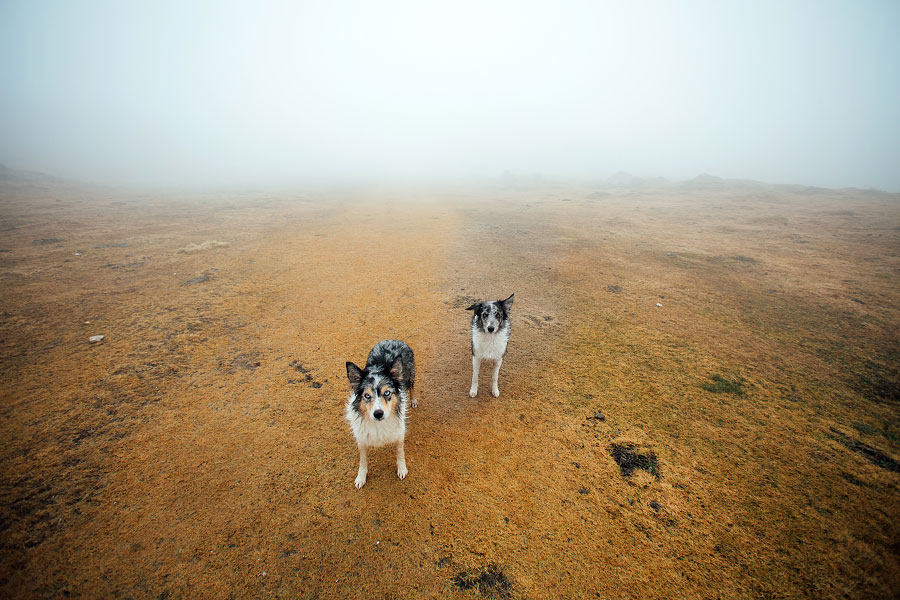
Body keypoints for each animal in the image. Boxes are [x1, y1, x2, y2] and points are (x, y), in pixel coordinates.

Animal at [346, 340, 416, 490]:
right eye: (367, 395)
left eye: (387, 393)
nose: (378, 413)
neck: (379, 424)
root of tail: (393, 340)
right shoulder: (362, 437)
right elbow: (363, 460)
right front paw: (361, 477)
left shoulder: (399, 432)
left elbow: (400, 452)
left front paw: (402, 469)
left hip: (410, 374)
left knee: (412, 387)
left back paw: (413, 400)